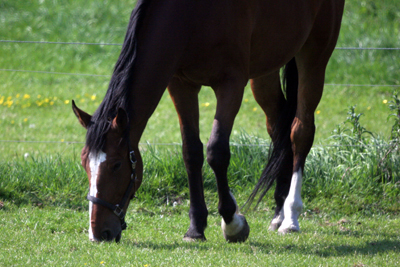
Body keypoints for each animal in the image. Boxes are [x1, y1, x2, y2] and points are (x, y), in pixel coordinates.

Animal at [71, 0, 344, 243]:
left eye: (116, 165)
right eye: (85, 162)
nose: (98, 233)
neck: (194, 15)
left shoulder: (231, 85)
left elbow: (217, 151)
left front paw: (233, 223)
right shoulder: (181, 85)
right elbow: (191, 152)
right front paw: (195, 228)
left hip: (314, 56)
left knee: (300, 132)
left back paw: (290, 218)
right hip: (265, 70)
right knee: (279, 127)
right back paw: (278, 213)